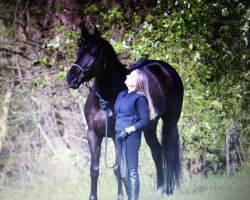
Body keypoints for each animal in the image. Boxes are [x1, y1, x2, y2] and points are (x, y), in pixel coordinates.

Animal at [66, 27, 184, 200]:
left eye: (93, 53)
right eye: (78, 51)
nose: (71, 78)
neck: (105, 98)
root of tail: (164, 68)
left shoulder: (117, 135)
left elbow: (118, 169)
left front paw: (122, 196)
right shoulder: (93, 135)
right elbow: (94, 169)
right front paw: (93, 197)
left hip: (170, 122)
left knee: (169, 152)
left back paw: (168, 190)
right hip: (149, 126)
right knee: (157, 151)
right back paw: (160, 188)